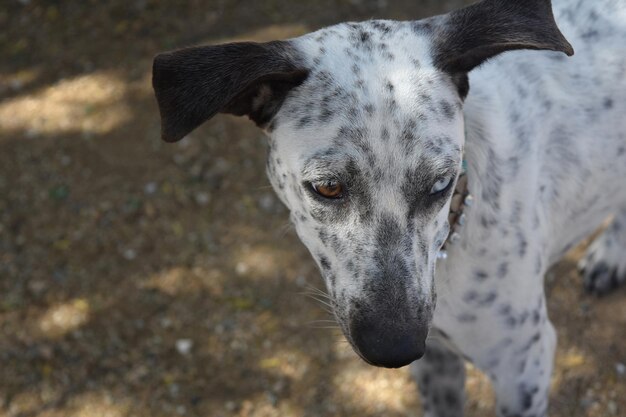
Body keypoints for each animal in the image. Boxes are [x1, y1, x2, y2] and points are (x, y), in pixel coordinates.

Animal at [151, 0, 624, 412]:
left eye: (441, 183)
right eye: (327, 187)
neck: (451, 241)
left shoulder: (524, 367)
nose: (395, 348)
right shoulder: (438, 361)